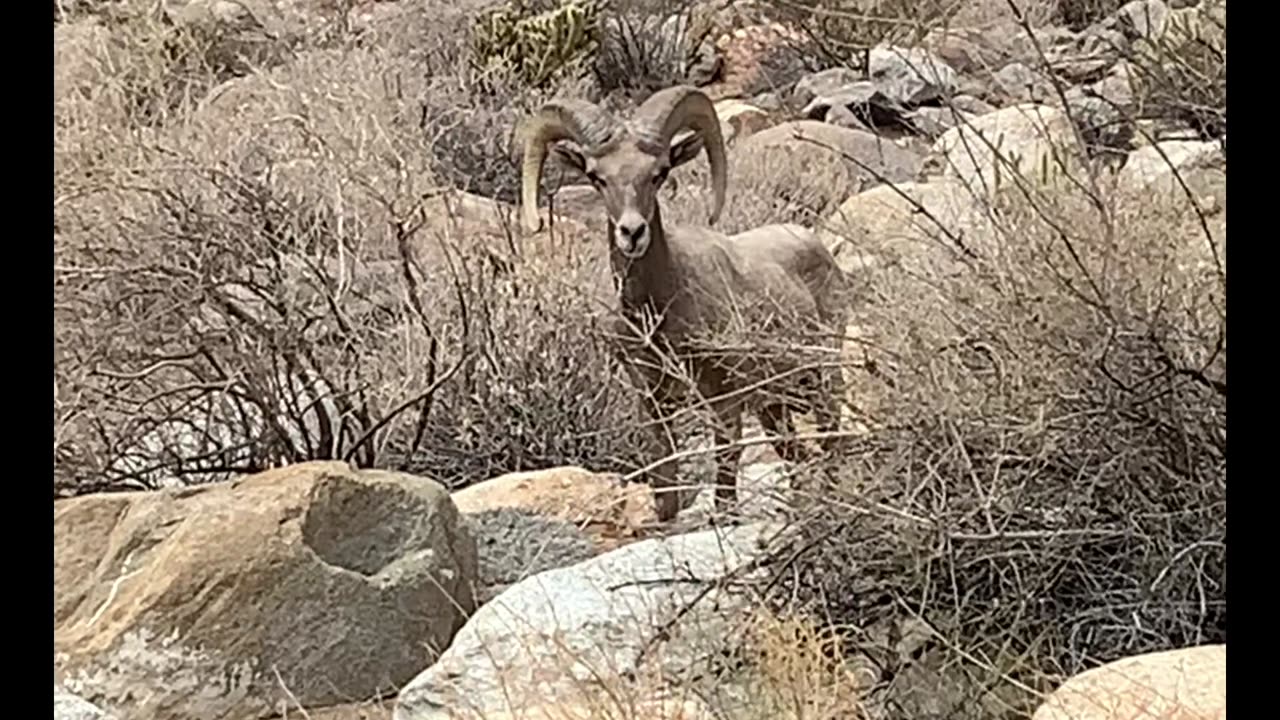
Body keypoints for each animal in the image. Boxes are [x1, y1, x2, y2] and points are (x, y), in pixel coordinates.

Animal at [514, 85, 855, 520]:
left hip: (819, 375)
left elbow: (726, 464)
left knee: (830, 436)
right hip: (774, 405)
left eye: (659, 173)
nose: (632, 232)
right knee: (793, 452)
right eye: (596, 177)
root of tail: (818, 247)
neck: (659, 311)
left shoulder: (723, 396)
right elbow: (667, 477)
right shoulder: (653, 400)